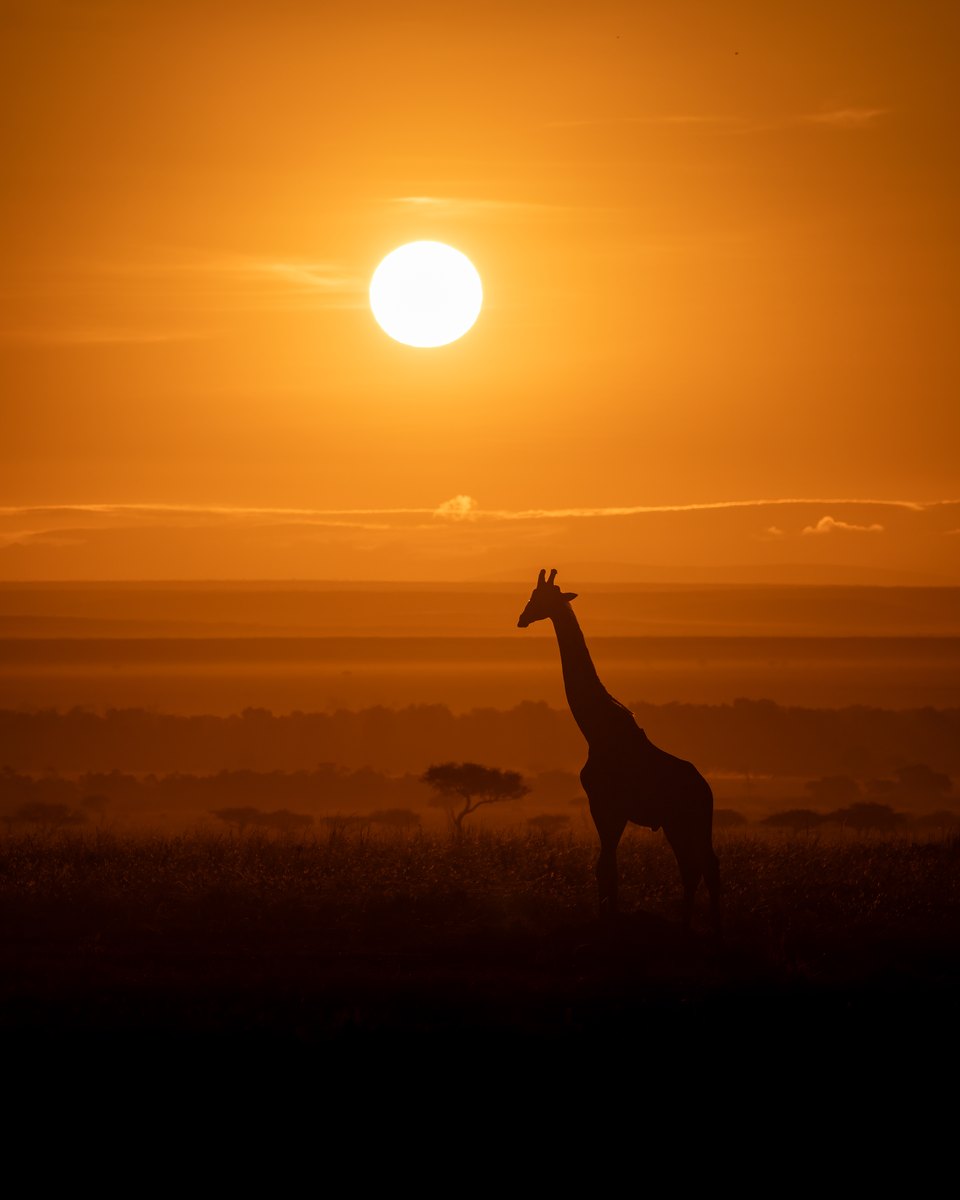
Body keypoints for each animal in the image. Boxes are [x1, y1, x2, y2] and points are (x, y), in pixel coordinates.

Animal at [517, 569, 721, 931]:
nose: (521, 619)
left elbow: (605, 866)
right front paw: (609, 914)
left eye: (538, 598)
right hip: (683, 823)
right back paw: (690, 922)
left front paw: (608, 917)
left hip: (685, 821)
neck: (595, 730)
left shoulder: (605, 804)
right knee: (698, 866)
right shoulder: (612, 809)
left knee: (700, 867)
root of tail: (706, 790)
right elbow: (608, 866)